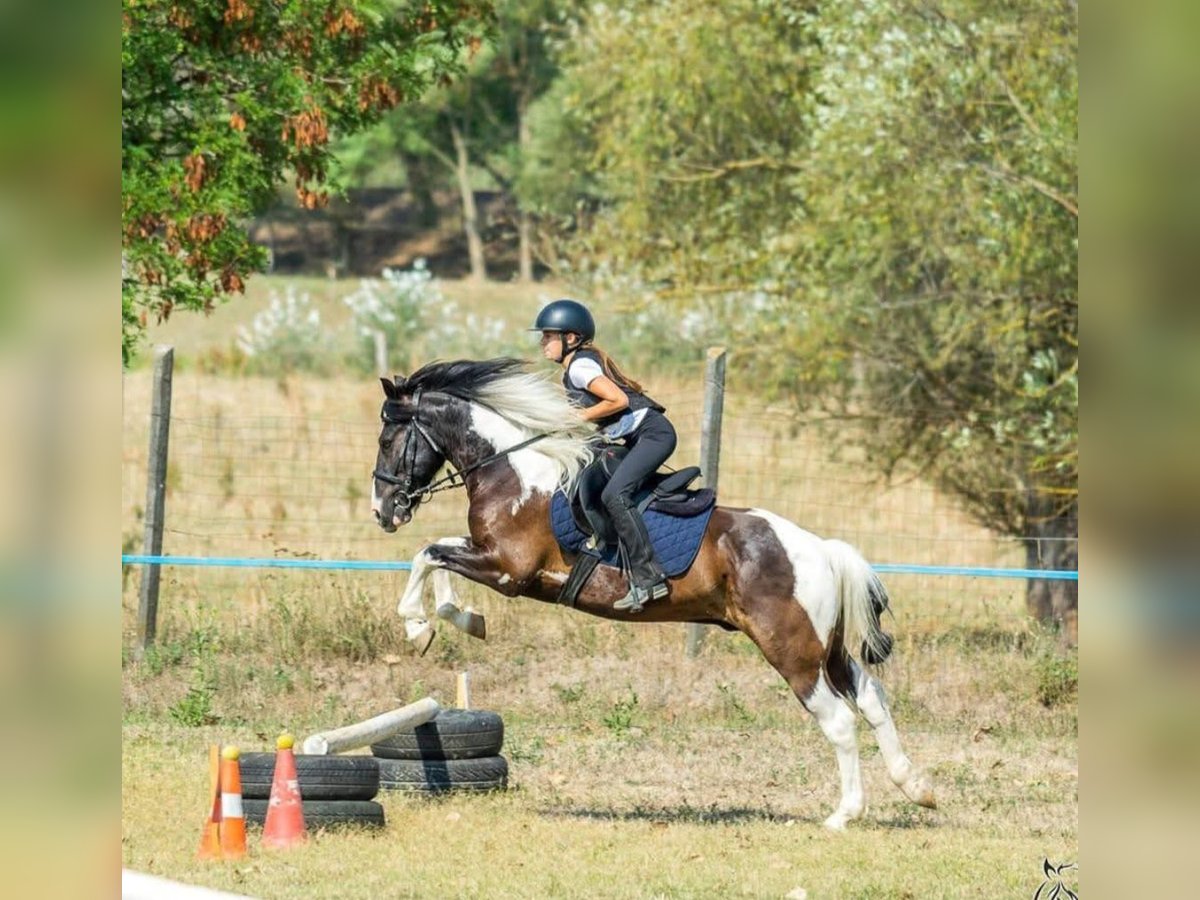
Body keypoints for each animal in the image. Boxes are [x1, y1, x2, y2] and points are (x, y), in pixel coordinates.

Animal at [367, 357, 936, 830]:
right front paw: (457, 619)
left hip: (791, 649)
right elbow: (436, 556)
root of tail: (821, 551)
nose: (383, 511)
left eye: (388, 438)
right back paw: (917, 788)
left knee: (839, 719)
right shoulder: (490, 558)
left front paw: (418, 626)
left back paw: (844, 815)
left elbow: (428, 554)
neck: (515, 474)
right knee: (872, 698)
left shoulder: (509, 570)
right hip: (825, 647)